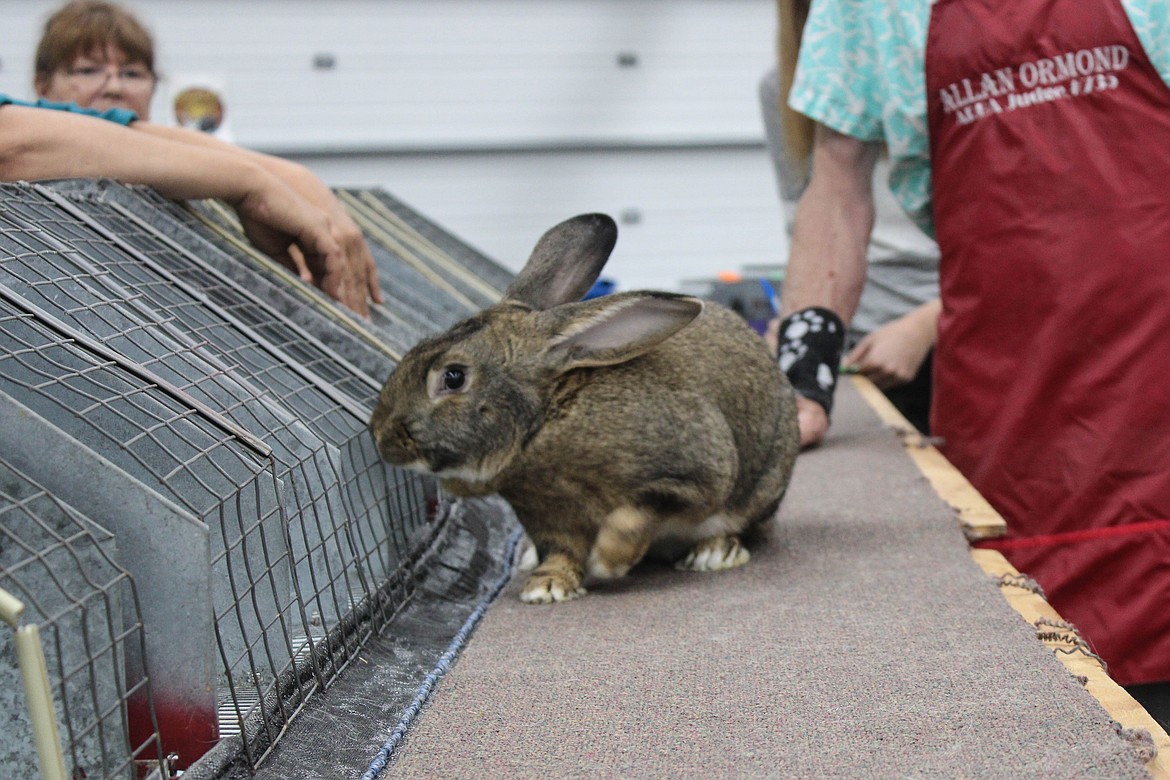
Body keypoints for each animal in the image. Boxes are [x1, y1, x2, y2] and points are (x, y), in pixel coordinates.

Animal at [369, 214, 800, 603]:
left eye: (454, 377)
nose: (381, 437)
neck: (546, 421)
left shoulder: (687, 477)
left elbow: (633, 517)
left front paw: (606, 562)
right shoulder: (546, 516)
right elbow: (559, 551)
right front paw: (547, 587)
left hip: (762, 485)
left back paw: (713, 553)